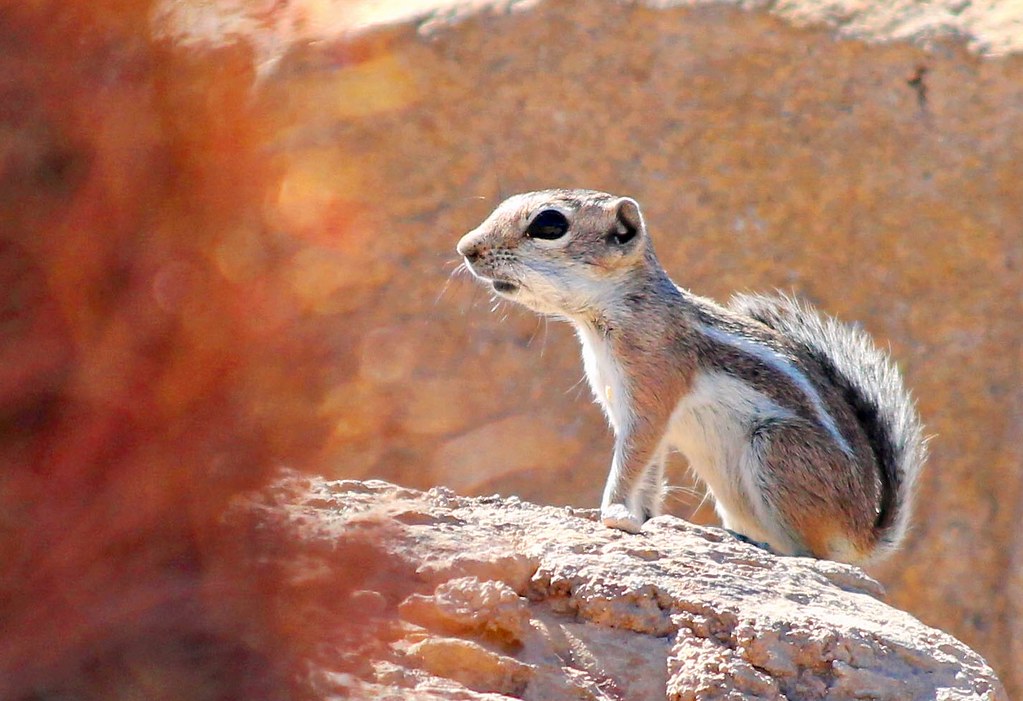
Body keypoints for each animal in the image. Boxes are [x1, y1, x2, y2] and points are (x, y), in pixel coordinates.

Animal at [456, 189, 928, 565]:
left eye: (549, 224)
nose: (466, 248)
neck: (605, 317)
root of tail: (862, 533)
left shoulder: (651, 395)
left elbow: (629, 463)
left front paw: (612, 514)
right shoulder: (627, 409)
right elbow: (647, 471)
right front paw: (642, 517)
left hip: (776, 445)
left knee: (815, 553)